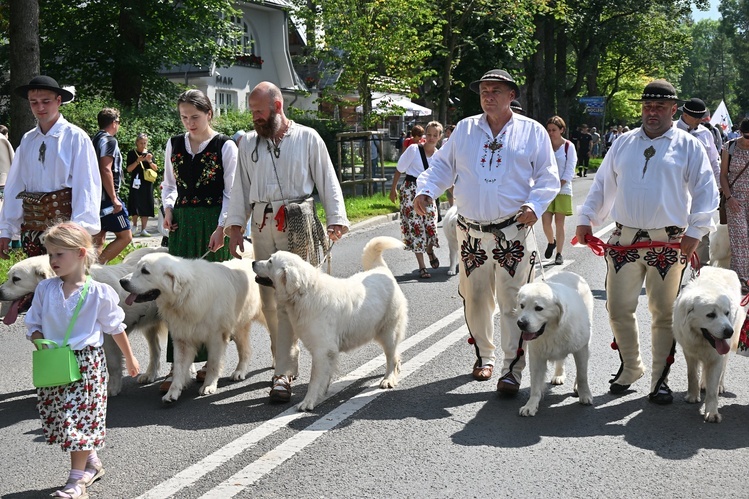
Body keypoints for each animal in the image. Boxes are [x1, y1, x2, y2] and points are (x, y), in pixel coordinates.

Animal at [0, 248, 167, 396]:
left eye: (16, 279)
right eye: (8, 277)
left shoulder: (109, 338)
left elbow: (113, 365)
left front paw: (112, 388)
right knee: (156, 349)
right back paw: (150, 374)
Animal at [120, 254, 266, 402]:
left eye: (145, 271)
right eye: (137, 267)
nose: (122, 281)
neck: (186, 294)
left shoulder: (216, 338)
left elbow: (213, 364)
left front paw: (208, 385)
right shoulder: (183, 339)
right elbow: (179, 369)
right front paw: (172, 392)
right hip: (239, 327)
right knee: (246, 350)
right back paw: (239, 372)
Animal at [253, 236, 410, 412]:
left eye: (270, 261)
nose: (253, 262)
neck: (304, 293)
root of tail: (381, 270)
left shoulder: (322, 350)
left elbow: (314, 379)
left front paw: (308, 401)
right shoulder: (327, 351)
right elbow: (325, 375)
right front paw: (322, 392)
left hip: (388, 332)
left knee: (391, 357)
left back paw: (388, 379)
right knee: (396, 355)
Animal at [512, 272, 592, 416]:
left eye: (539, 308)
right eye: (522, 306)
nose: (521, 323)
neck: (552, 330)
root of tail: (570, 273)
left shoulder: (580, 349)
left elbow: (582, 374)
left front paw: (585, 394)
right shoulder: (536, 356)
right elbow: (535, 384)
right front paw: (530, 405)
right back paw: (559, 375)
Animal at [672, 268, 744, 424]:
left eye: (727, 313)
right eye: (710, 315)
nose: (729, 331)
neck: (702, 340)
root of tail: (722, 268)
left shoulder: (717, 357)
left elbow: (712, 389)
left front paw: (712, 413)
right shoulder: (689, 352)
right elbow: (692, 375)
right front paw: (693, 396)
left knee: (722, 369)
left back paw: (720, 386)